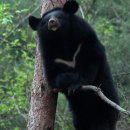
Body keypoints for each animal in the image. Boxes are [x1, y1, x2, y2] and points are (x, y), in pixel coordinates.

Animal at [28, 0, 119, 130]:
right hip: (79, 113)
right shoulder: (51, 56)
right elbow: (53, 78)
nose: (52, 22)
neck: (61, 40)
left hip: (107, 97)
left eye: (59, 16)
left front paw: (76, 83)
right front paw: (69, 81)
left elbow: (91, 64)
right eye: (45, 21)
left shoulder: (84, 41)